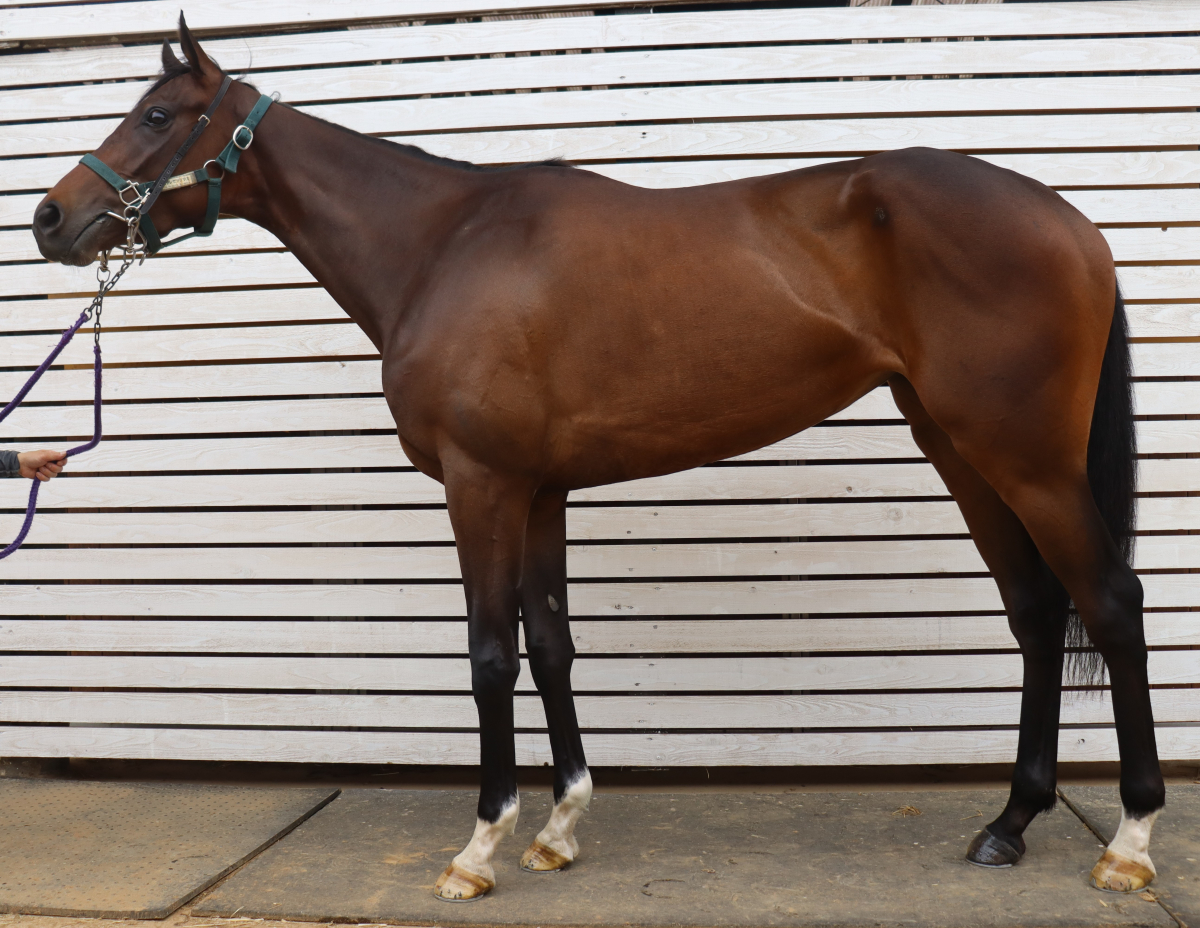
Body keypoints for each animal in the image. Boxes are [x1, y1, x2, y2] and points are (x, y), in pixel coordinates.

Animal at [31, 17, 1163, 901]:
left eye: (158, 116)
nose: (50, 219)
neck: (442, 245)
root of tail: (1069, 220)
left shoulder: (482, 486)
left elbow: (490, 654)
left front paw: (479, 846)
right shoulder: (540, 492)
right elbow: (551, 647)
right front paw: (559, 828)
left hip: (1026, 458)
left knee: (1109, 600)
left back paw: (1130, 841)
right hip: (963, 449)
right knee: (1037, 612)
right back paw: (1008, 825)